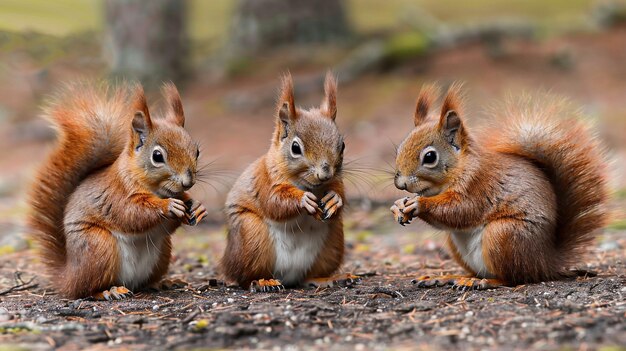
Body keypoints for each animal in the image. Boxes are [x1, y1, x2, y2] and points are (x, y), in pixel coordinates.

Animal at [27, 82, 207, 300]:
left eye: (197, 151)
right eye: (157, 156)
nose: (187, 181)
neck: (158, 190)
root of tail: (68, 277)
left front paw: (197, 206)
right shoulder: (115, 195)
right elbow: (131, 214)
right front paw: (168, 206)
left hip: (163, 252)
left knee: (144, 282)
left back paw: (162, 282)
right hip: (98, 246)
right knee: (86, 289)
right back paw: (108, 291)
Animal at [221, 71, 356, 292]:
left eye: (342, 145)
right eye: (295, 148)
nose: (325, 174)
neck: (309, 186)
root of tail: (288, 277)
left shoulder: (335, 182)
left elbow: (339, 191)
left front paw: (335, 199)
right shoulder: (266, 181)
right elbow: (273, 202)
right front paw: (303, 200)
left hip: (332, 244)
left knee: (309, 275)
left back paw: (329, 278)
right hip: (251, 237)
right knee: (244, 277)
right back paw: (263, 281)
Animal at [388, 84, 608, 290]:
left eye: (430, 157)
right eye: (399, 149)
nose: (401, 183)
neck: (461, 167)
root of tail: (545, 263)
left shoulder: (479, 186)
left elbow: (460, 210)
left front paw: (418, 204)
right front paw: (398, 206)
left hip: (503, 235)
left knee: (513, 278)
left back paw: (486, 281)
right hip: (458, 245)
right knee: (476, 271)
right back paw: (448, 277)